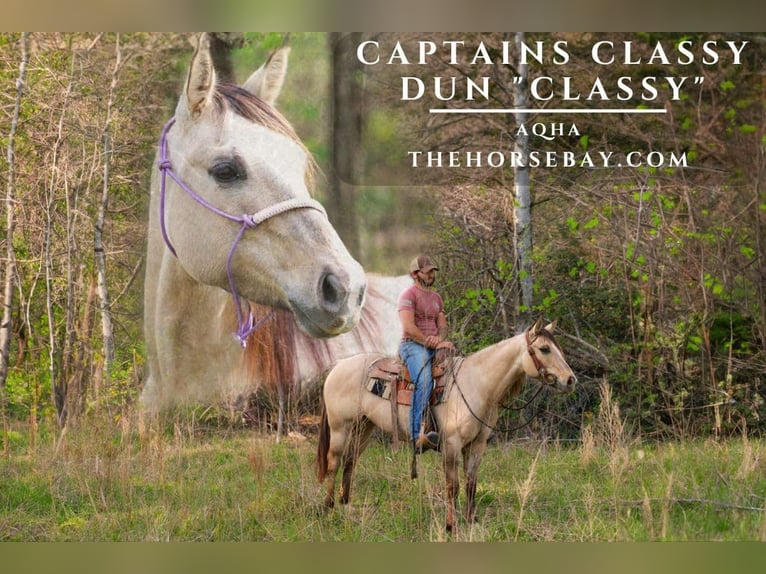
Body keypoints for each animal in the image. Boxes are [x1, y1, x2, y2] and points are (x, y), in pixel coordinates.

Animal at [316, 318, 577, 533]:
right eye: (544, 349)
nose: (570, 380)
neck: (477, 384)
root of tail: (338, 367)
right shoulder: (452, 444)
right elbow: (453, 486)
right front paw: (451, 525)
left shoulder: (477, 445)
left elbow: (471, 484)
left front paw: (471, 521)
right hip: (340, 427)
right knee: (334, 461)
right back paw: (327, 507)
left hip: (364, 427)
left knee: (350, 460)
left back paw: (346, 503)